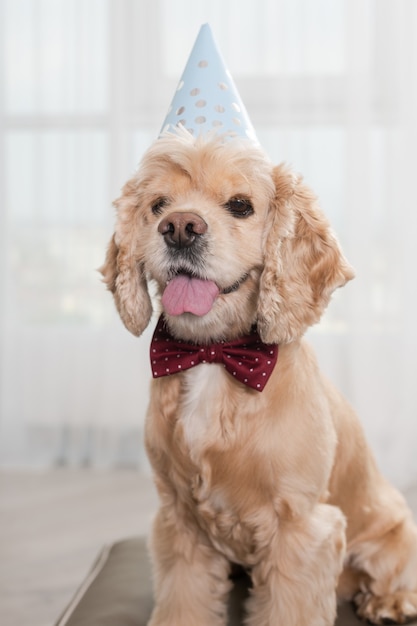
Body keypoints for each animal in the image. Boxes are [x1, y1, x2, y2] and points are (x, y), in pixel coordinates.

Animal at [101, 129, 416, 620]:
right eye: (158, 205)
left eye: (240, 205)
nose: (179, 226)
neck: (213, 356)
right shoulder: (178, 519)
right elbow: (182, 599)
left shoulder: (301, 527)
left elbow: (290, 608)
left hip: (391, 534)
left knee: (393, 571)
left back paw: (389, 600)